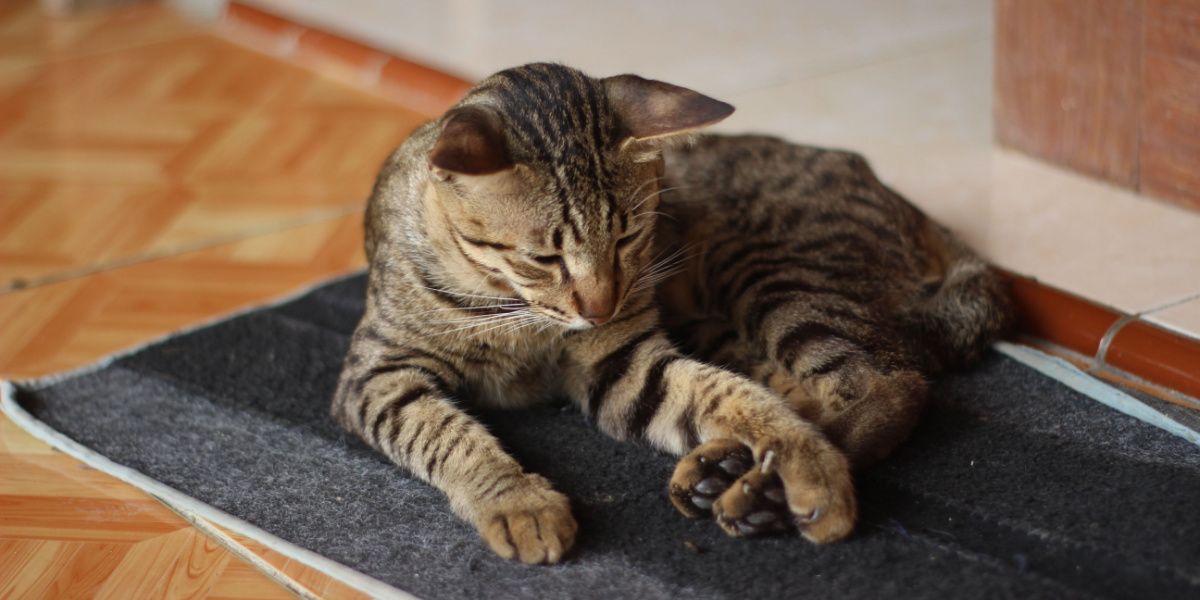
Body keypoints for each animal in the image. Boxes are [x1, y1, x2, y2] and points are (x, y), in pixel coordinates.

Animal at [328, 63, 1012, 564]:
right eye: (545, 256)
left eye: (630, 237)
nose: (600, 306)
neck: (520, 315)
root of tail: (905, 203)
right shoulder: (380, 374)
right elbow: (447, 434)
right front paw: (518, 502)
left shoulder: (618, 356)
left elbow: (729, 395)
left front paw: (805, 462)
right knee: (819, 384)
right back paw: (727, 468)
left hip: (772, 269)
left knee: (889, 382)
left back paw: (758, 488)